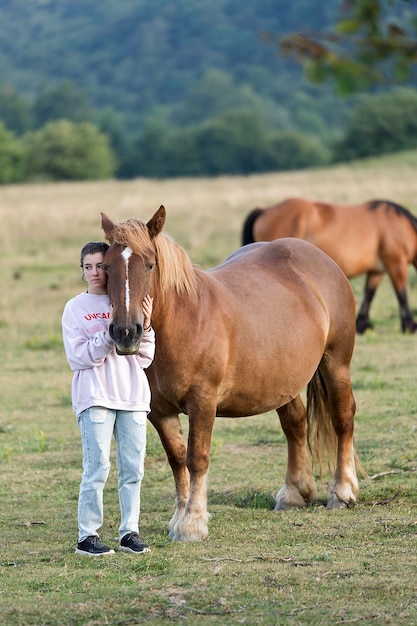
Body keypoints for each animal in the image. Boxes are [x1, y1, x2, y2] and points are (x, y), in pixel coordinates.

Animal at [101, 207, 360, 540]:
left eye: (149, 264)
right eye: (107, 266)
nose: (125, 332)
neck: (183, 321)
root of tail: (321, 259)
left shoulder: (203, 402)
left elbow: (196, 458)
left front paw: (193, 522)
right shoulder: (159, 410)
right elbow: (176, 459)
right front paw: (179, 516)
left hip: (335, 363)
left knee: (343, 418)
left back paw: (342, 492)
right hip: (283, 380)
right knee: (295, 425)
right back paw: (294, 493)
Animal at [240, 196, 417, 334]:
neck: (399, 225)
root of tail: (264, 210)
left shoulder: (377, 271)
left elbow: (369, 295)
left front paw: (362, 325)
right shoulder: (396, 264)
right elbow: (402, 295)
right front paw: (409, 326)